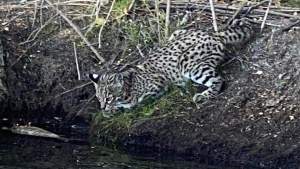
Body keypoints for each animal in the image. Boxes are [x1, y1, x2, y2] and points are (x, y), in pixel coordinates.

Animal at [90, 18, 254, 116]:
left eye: (108, 98)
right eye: (98, 98)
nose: (102, 107)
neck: (128, 85)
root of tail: (214, 34)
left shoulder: (158, 85)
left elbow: (135, 103)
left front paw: (114, 109)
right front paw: (109, 110)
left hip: (187, 63)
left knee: (218, 80)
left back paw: (203, 95)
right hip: (177, 33)